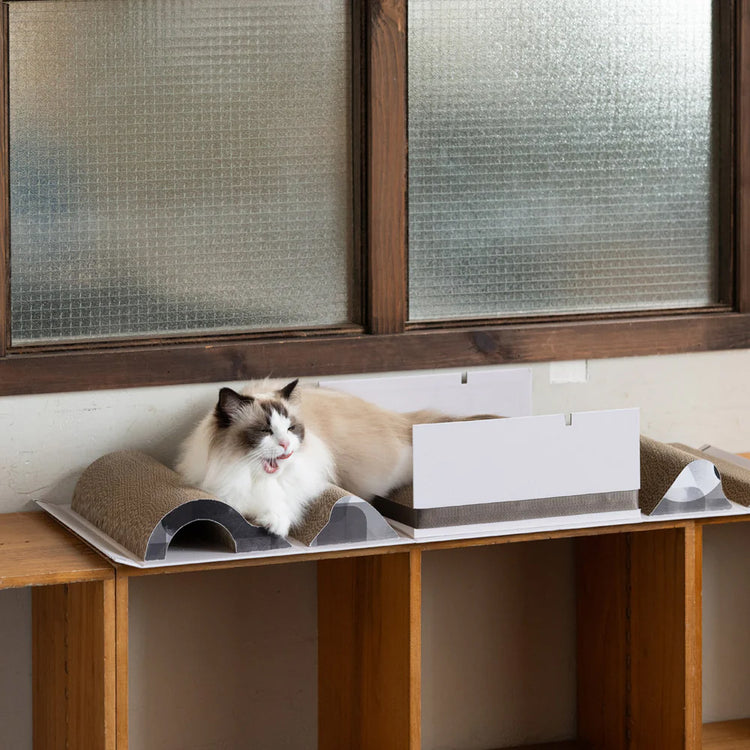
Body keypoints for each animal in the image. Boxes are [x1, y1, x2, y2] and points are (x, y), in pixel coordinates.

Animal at [175, 378, 455, 536]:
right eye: (266, 431)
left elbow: (285, 503)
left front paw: (274, 526)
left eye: (290, 428)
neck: (255, 476)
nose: (286, 444)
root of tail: (398, 418)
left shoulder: (302, 481)